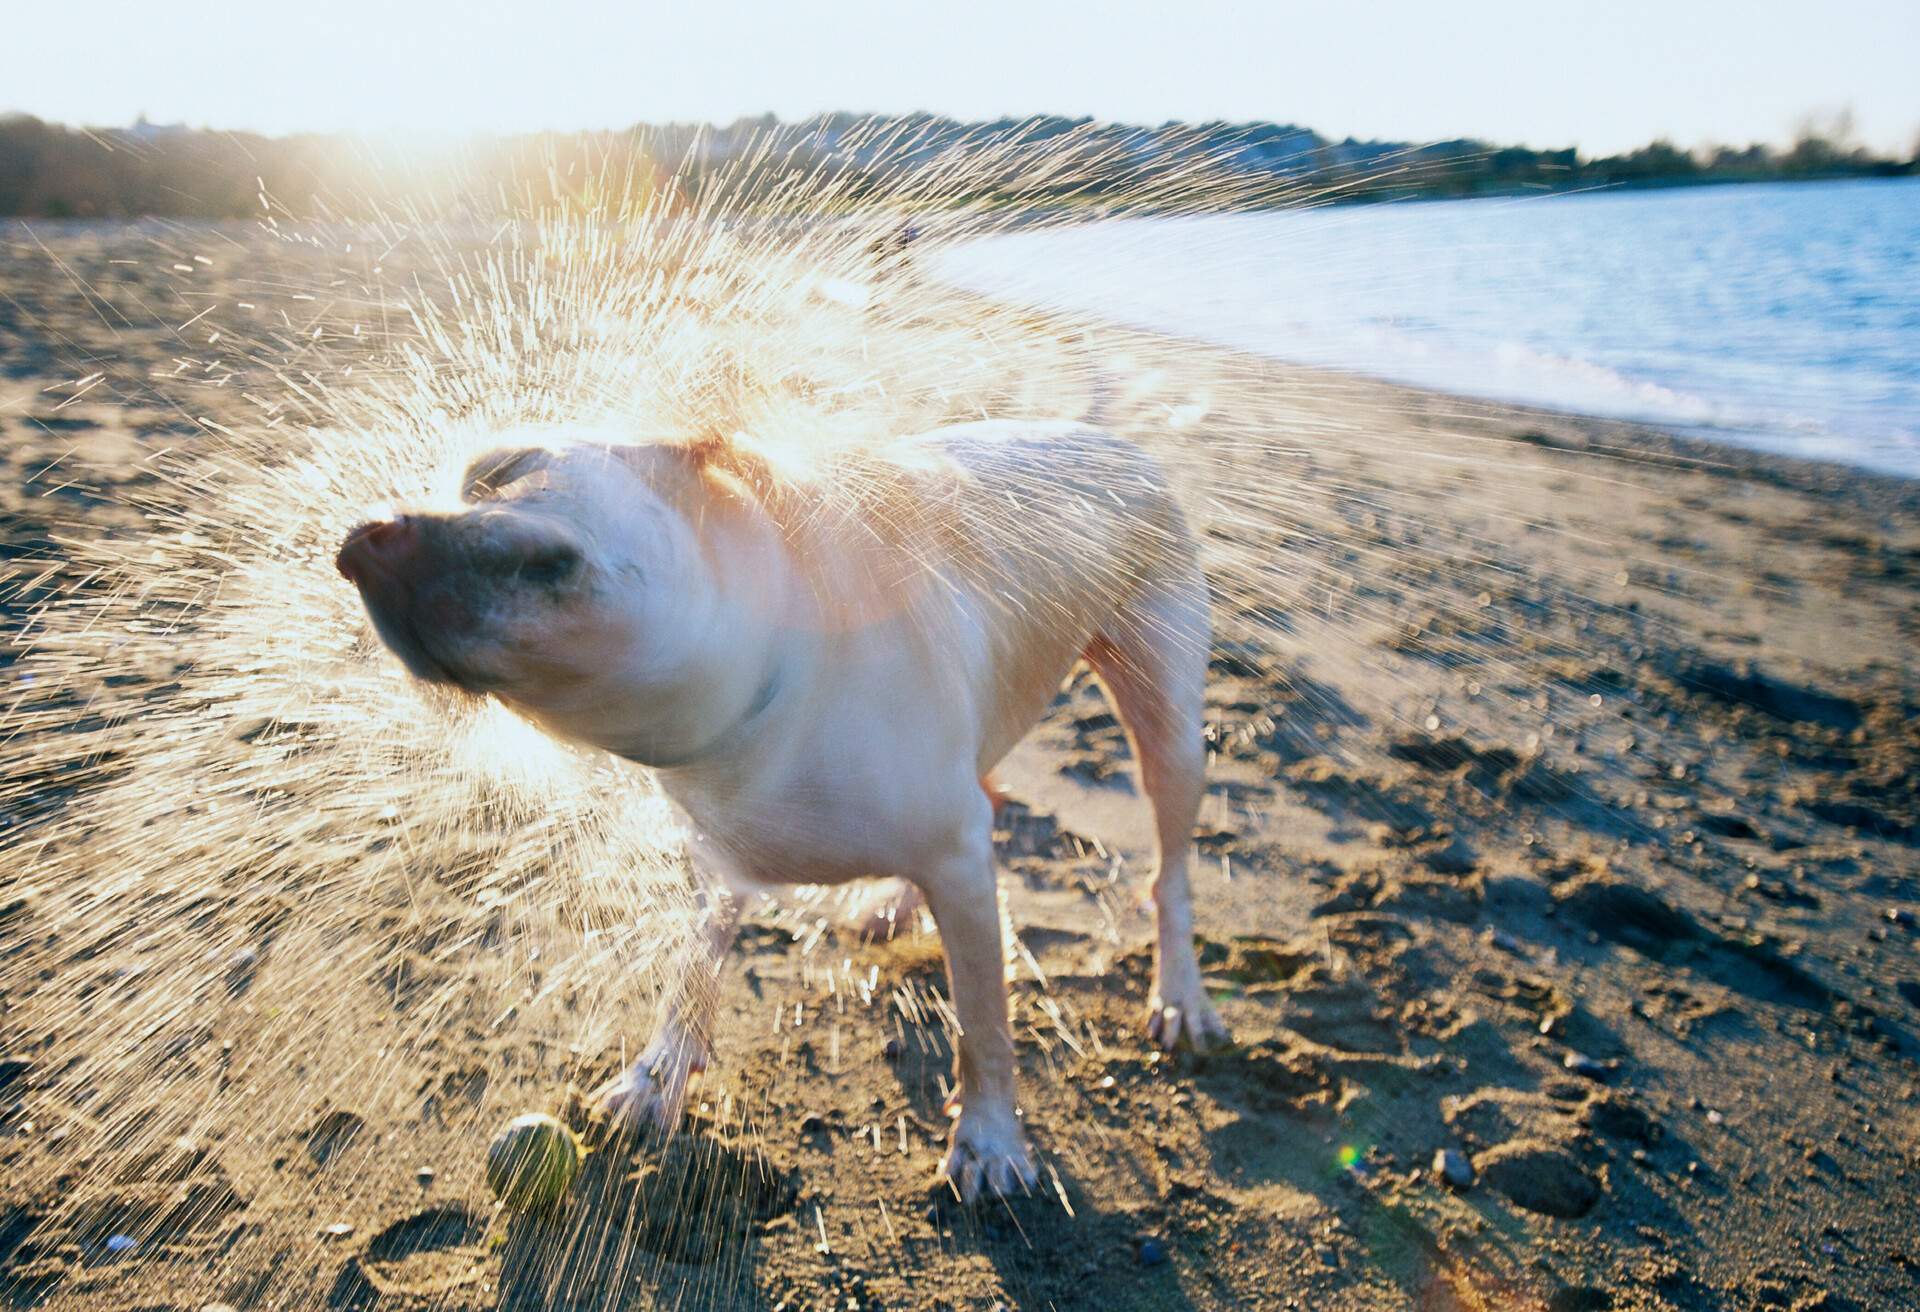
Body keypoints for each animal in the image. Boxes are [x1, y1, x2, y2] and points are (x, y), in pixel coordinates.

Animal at [336, 420, 1221, 1198]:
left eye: (506, 468)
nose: (354, 543)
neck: (763, 678)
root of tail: (1108, 437)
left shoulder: (959, 857)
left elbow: (983, 1024)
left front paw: (991, 1140)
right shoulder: (719, 852)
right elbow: (690, 970)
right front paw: (656, 1078)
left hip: (1169, 723)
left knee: (1170, 876)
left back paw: (1180, 996)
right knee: (995, 793)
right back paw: (893, 903)